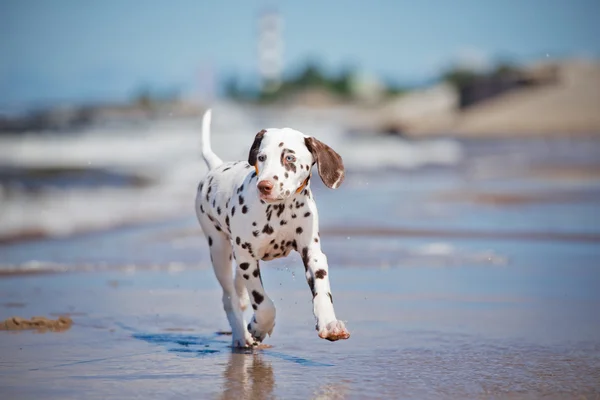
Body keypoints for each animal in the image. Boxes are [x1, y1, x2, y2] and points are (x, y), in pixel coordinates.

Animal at [195, 108, 350, 346]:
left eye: (289, 158)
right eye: (261, 157)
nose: (264, 186)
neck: (280, 211)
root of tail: (216, 167)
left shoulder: (313, 254)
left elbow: (322, 291)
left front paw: (329, 324)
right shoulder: (247, 259)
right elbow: (263, 302)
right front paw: (259, 327)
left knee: (238, 290)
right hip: (219, 250)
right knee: (229, 297)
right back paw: (242, 336)